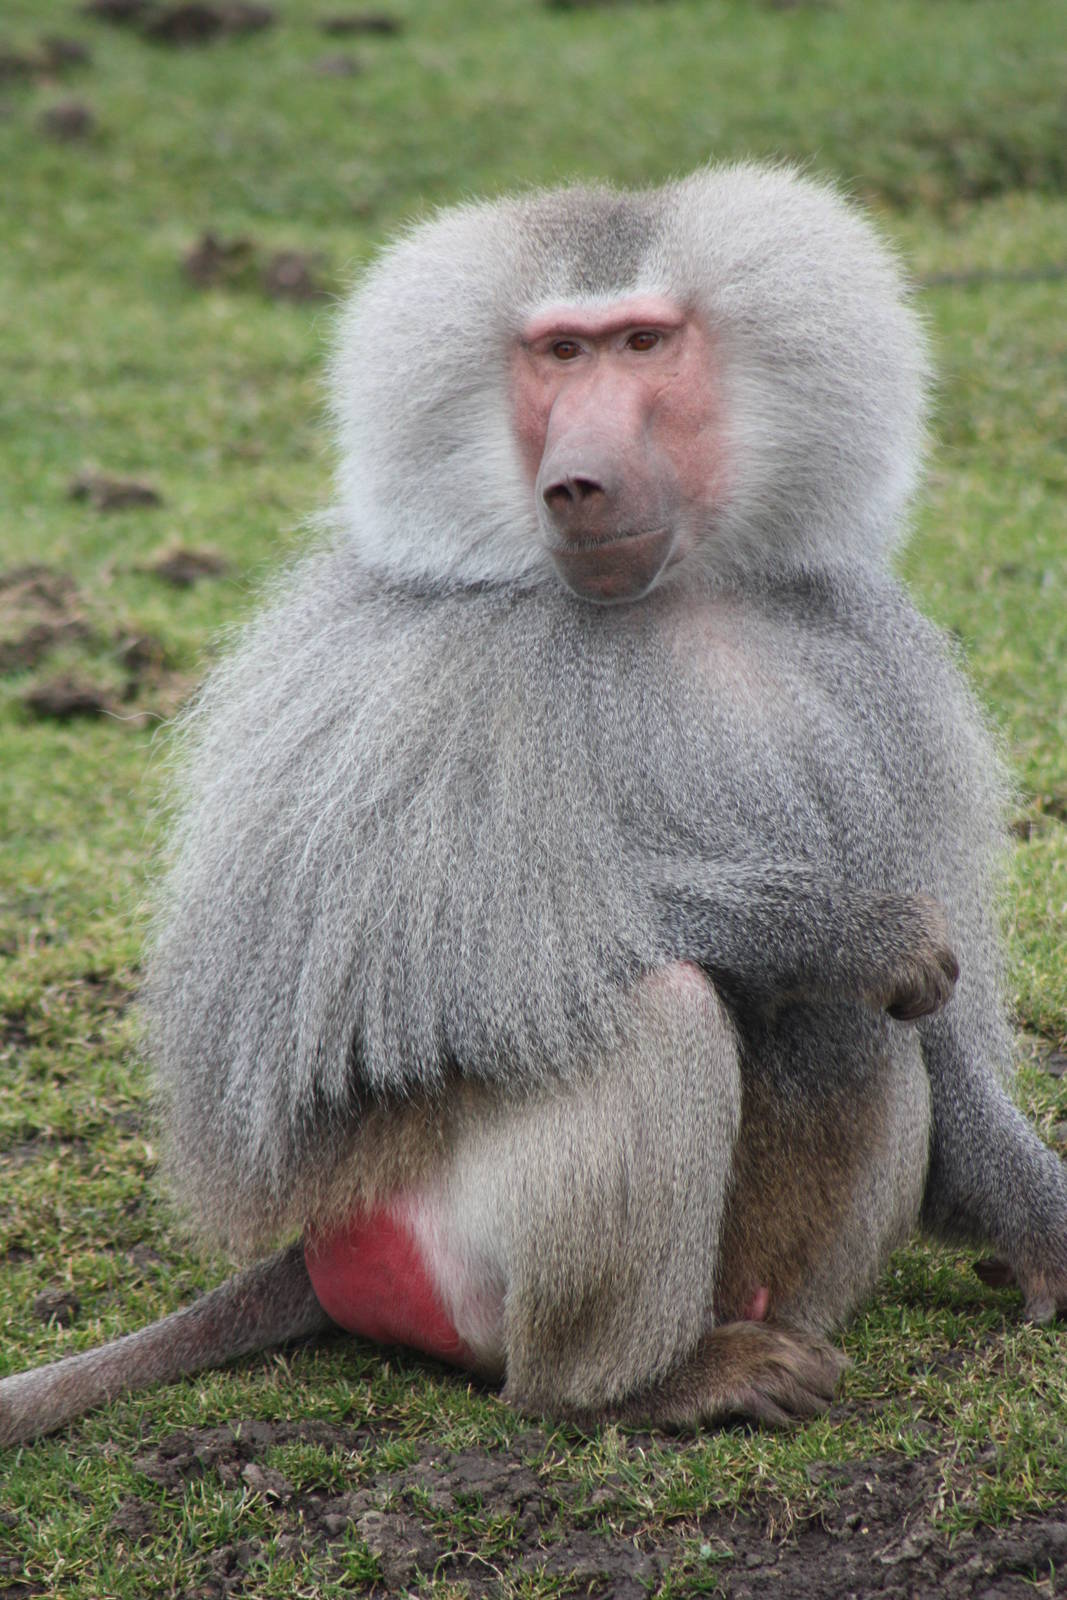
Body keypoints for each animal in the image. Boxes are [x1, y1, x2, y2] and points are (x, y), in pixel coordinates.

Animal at [2, 163, 1064, 1449]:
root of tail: (319, 1254)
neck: (668, 601)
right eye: (559, 352)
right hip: (440, 1243)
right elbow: (392, 979)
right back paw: (634, 1386)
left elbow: (939, 1018)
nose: (578, 481)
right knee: (650, 1009)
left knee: (864, 1032)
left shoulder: (873, 666)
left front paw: (1034, 1223)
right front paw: (837, 928)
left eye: (642, 342)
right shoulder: (389, 677)